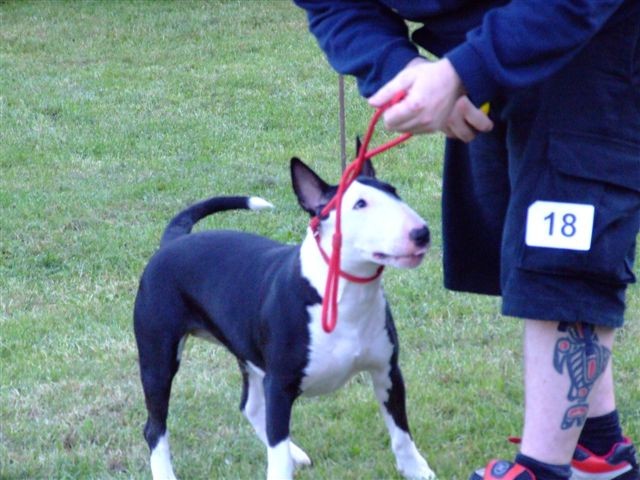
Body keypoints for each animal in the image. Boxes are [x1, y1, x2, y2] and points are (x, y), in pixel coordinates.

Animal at [134, 158, 436, 480]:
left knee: (250, 407)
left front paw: (416, 469)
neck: (340, 295)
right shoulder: (279, 386)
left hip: (246, 350)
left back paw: (296, 453)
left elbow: (401, 431)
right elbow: (276, 452)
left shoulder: (387, 370)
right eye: (359, 204)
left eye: (394, 191)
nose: (421, 233)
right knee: (155, 428)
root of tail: (173, 241)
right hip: (158, 357)